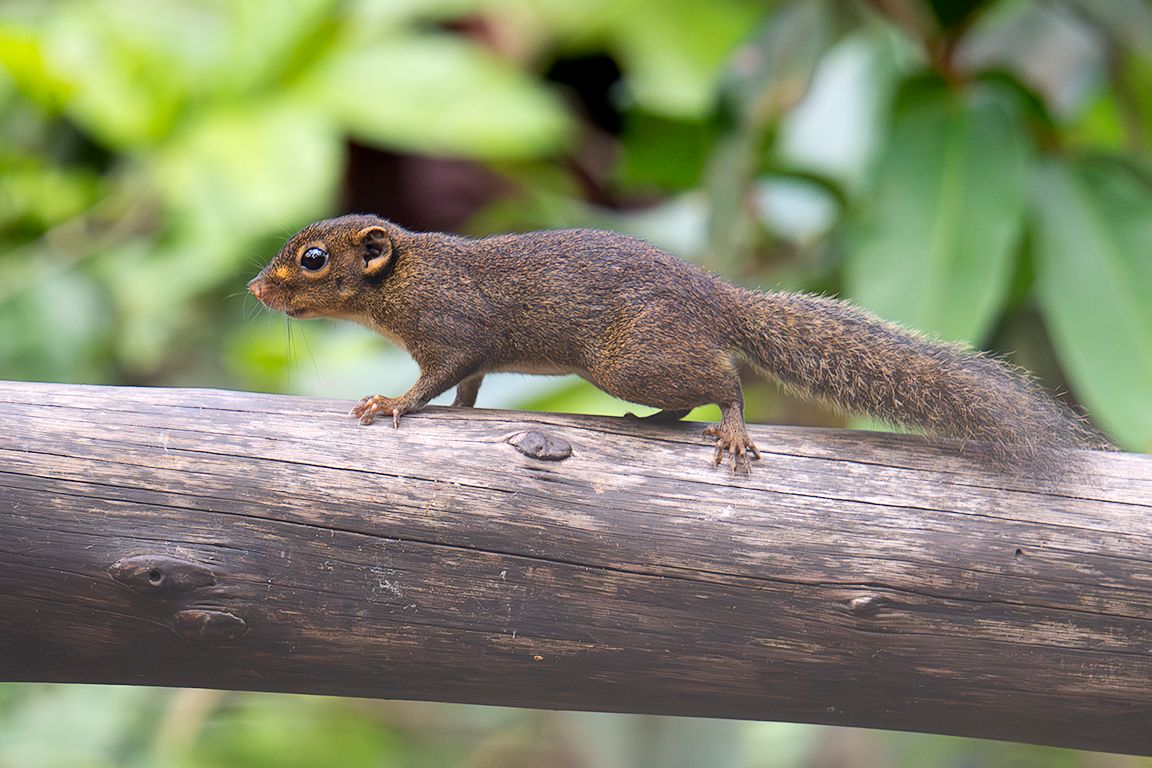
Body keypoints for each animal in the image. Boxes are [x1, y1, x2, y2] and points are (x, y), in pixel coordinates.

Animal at [248, 214, 1108, 474]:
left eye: (313, 259)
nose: (256, 289)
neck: (405, 280)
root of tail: (716, 297)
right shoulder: (474, 355)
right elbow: (467, 389)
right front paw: (454, 413)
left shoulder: (453, 328)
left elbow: (439, 378)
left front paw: (391, 402)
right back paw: (654, 424)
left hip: (630, 358)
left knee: (723, 382)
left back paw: (730, 429)